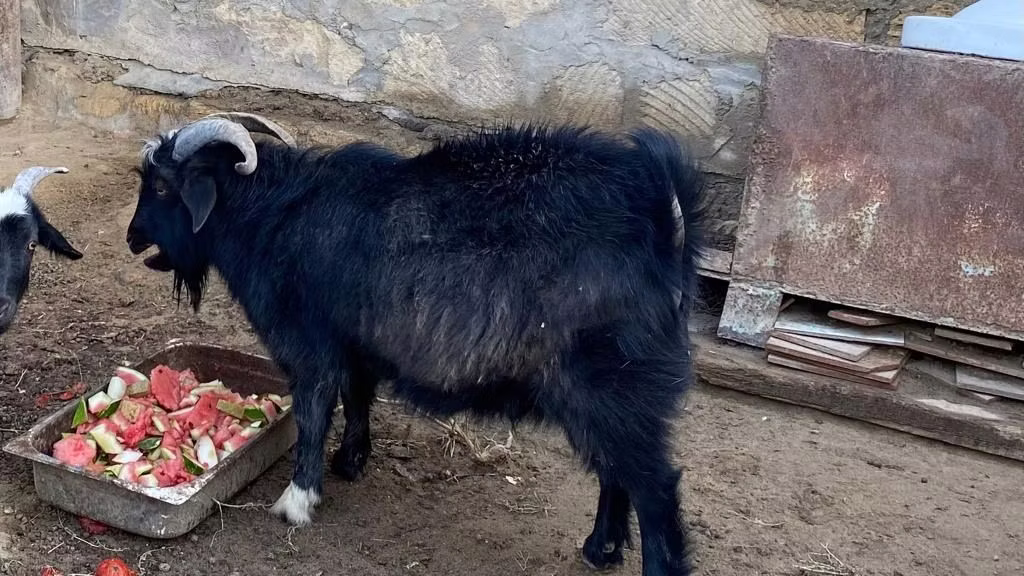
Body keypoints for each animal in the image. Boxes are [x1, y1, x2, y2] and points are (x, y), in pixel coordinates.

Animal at [126, 112, 706, 576]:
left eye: (163, 187)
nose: (132, 239)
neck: (274, 216)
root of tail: (662, 211)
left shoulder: (309, 346)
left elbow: (314, 413)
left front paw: (297, 501)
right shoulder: (356, 345)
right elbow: (358, 397)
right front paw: (351, 462)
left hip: (612, 385)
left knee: (653, 487)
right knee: (616, 471)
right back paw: (600, 549)